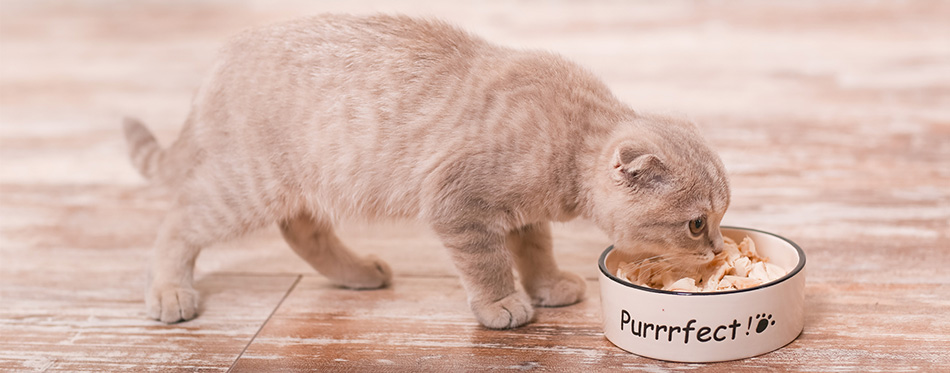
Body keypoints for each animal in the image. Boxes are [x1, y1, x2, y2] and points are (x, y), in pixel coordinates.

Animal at [122, 13, 732, 328]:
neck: (572, 134)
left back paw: (357, 272)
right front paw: (502, 303)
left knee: (302, 229)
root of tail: (221, 60)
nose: (719, 249)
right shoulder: (457, 203)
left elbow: (534, 249)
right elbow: (488, 262)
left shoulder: (522, 214)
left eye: (721, 217)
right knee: (178, 221)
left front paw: (546, 283)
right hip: (246, 186)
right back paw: (169, 290)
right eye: (697, 224)